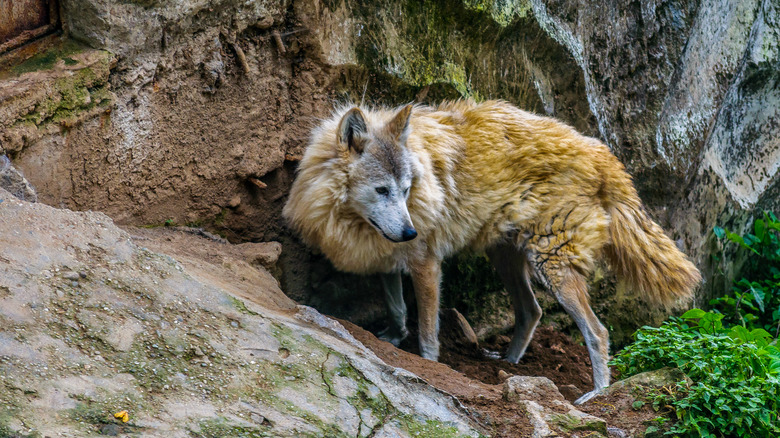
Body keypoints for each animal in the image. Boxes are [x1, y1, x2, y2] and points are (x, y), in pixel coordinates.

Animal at [284, 99, 704, 404]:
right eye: (382, 190)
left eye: (405, 189)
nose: (410, 230)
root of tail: (600, 152)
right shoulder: (386, 251)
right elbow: (397, 308)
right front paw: (392, 337)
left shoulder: (425, 263)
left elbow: (427, 331)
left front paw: (426, 365)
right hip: (508, 260)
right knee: (532, 312)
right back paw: (510, 366)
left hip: (551, 267)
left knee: (597, 332)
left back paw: (596, 395)